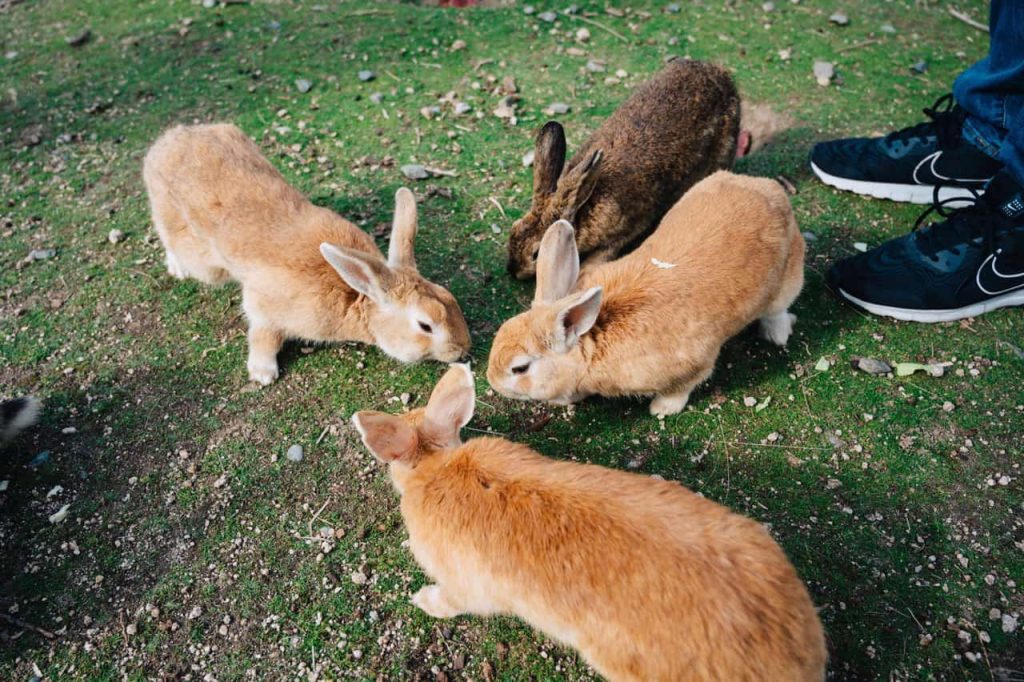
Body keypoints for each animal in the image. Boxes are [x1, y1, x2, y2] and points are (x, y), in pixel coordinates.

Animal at [144, 124, 471, 385]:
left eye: (450, 297)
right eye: (425, 325)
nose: (463, 349)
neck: (355, 294)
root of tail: (167, 142)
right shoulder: (264, 307)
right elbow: (263, 336)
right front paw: (263, 374)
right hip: (195, 249)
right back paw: (176, 267)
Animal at [489, 169, 806, 413]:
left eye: (519, 368)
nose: (491, 380)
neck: (591, 344)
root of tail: (769, 188)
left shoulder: (695, 363)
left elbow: (683, 387)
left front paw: (662, 409)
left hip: (788, 280)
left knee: (778, 310)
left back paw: (777, 334)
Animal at [507, 58, 741, 278]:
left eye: (536, 253)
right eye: (513, 229)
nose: (513, 271)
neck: (584, 204)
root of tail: (722, 74)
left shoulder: (621, 232)